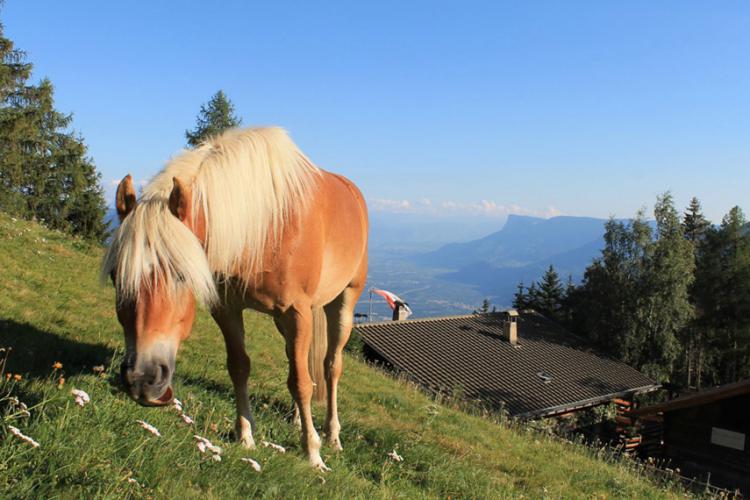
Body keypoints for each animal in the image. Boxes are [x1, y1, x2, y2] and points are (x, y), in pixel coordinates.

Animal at [100, 127, 370, 470]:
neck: (263, 227)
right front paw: (245, 435)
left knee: (331, 366)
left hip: (343, 302)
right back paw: (297, 419)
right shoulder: (227, 308)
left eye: (182, 274)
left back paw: (332, 436)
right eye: (115, 276)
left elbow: (299, 380)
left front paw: (312, 452)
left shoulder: (295, 312)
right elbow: (241, 367)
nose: (142, 379)